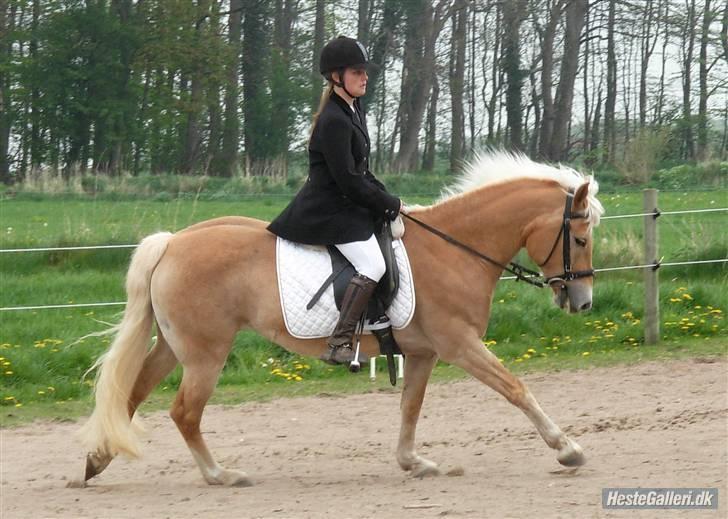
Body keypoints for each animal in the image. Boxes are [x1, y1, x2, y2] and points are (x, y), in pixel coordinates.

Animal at [77, 150, 604, 488]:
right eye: (579, 239)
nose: (582, 302)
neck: (454, 248)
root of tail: (171, 242)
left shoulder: (424, 353)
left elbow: (410, 407)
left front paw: (414, 463)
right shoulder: (460, 345)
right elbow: (516, 388)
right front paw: (568, 449)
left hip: (175, 346)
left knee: (133, 394)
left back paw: (96, 460)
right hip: (206, 353)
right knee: (184, 412)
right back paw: (219, 475)